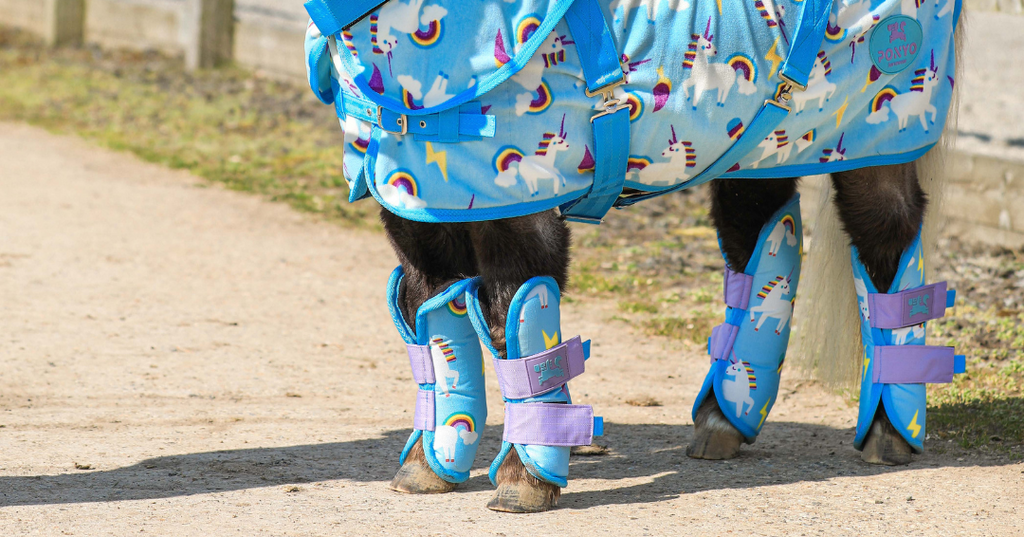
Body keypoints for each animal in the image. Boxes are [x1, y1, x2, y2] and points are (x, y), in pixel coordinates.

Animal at [304, 0, 966, 513]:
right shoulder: (419, 212)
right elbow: (436, 325)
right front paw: (429, 467)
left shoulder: (521, 217)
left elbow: (518, 325)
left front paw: (525, 481)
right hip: (760, 149)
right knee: (761, 235)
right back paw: (725, 420)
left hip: (874, 145)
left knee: (888, 246)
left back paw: (890, 432)